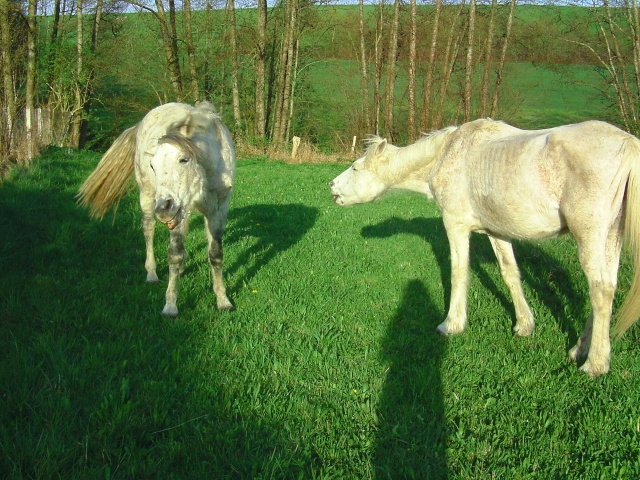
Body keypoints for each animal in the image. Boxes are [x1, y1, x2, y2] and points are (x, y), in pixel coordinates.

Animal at [78, 101, 235, 316]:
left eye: (184, 159)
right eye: (153, 165)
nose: (163, 208)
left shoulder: (217, 210)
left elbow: (216, 254)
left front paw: (223, 300)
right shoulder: (177, 210)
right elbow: (175, 255)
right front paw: (170, 305)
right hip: (148, 198)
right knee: (148, 230)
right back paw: (151, 273)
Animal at [330, 118, 640, 376]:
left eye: (356, 168)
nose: (331, 185)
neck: (450, 153)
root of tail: (627, 143)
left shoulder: (455, 225)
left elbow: (458, 273)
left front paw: (451, 325)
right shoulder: (497, 232)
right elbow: (510, 274)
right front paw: (524, 325)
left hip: (590, 236)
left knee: (600, 290)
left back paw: (595, 364)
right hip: (610, 239)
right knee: (607, 288)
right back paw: (579, 349)